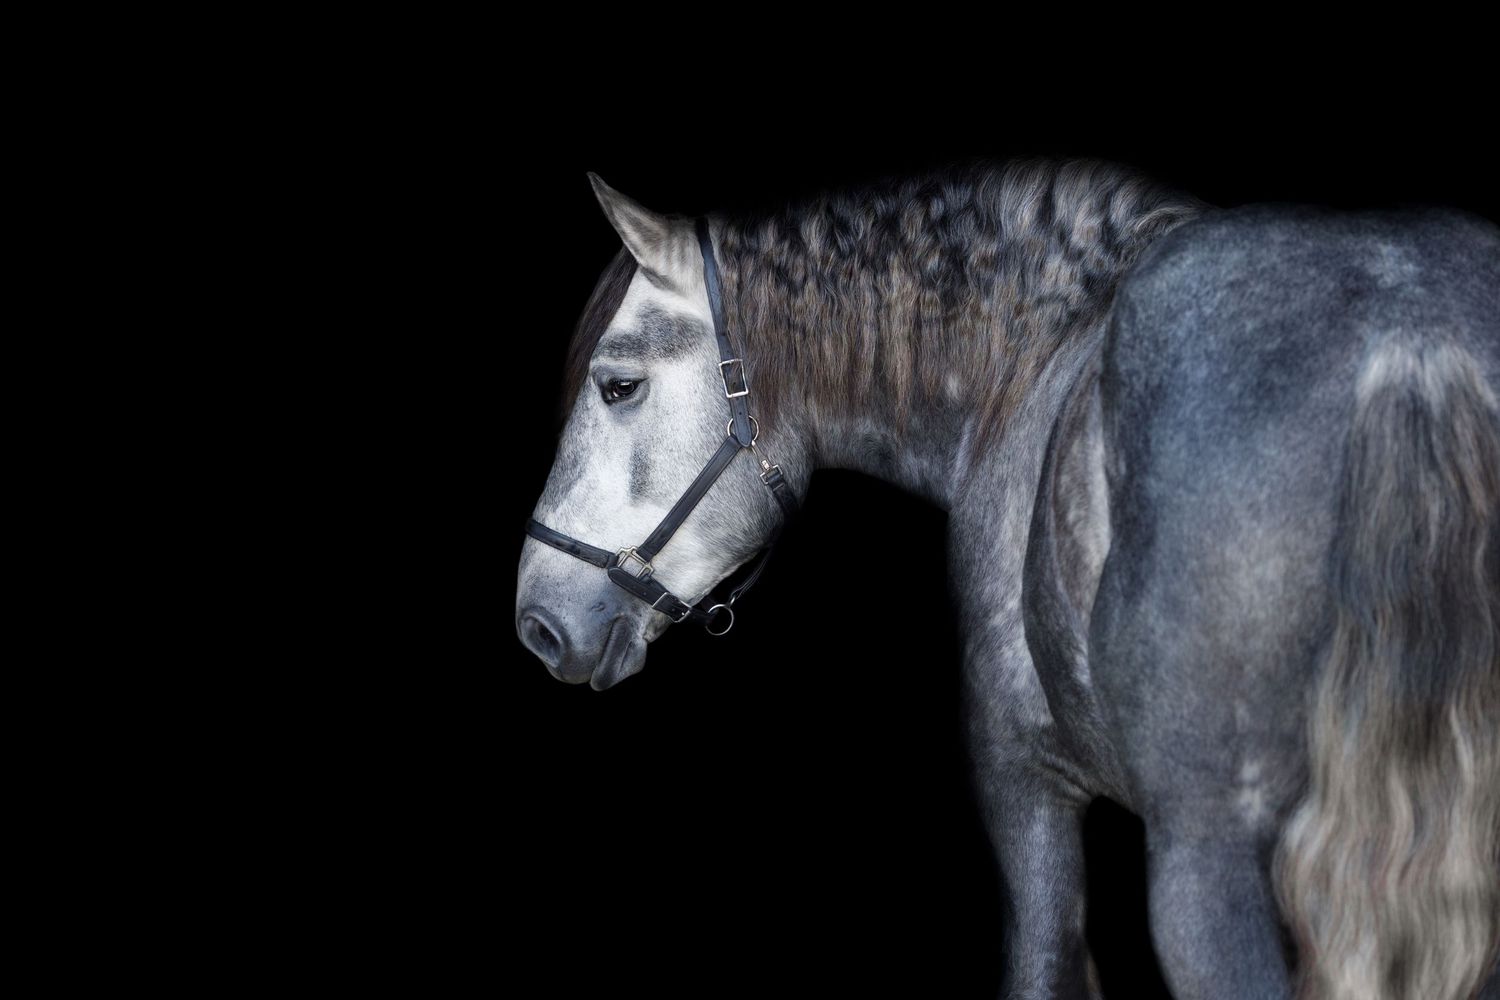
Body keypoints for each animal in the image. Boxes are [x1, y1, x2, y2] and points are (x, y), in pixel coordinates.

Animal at [513, 157, 1500, 1000]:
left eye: (617, 386)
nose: (538, 621)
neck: (1036, 359)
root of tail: (1412, 340)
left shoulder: (1025, 787)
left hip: (1205, 869)